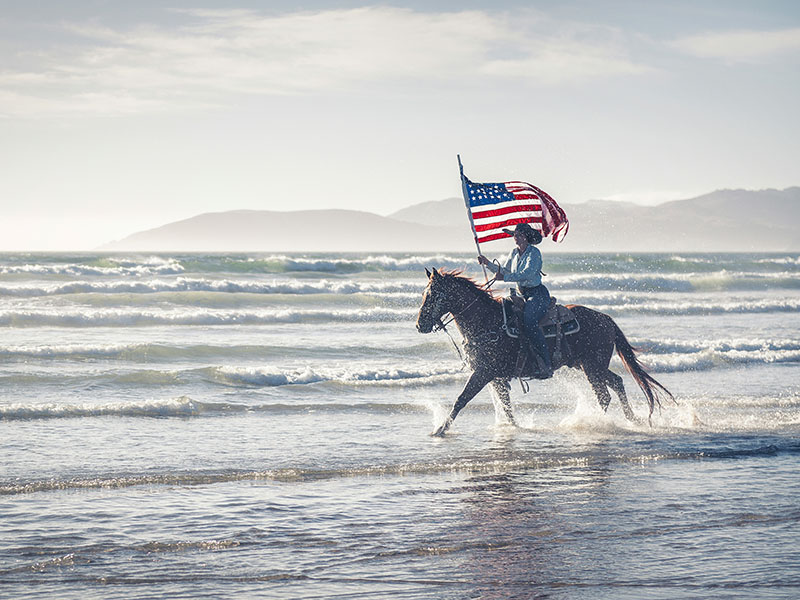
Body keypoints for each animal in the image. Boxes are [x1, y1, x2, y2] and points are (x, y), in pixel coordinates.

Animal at [416, 268, 672, 436]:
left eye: (432, 295)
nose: (420, 325)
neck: (487, 322)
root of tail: (606, 318)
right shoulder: (495, 377)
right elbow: (506, 406)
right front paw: (514, 427)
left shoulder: (484, 373)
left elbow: (462, 399)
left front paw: (440, 429)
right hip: (589, 365)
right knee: (617, 382)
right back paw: (632, 419)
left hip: (592, 367)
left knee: (604, 395)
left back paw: (598, 423)